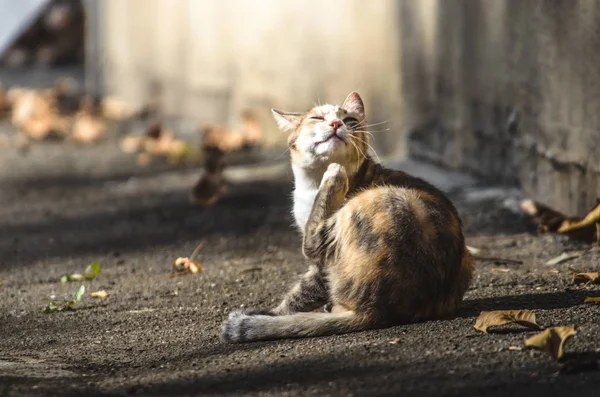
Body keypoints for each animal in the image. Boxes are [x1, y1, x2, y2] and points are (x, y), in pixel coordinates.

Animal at [220, 91, 474, 342]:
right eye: (317, 118)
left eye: (349, 120)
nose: (336, 123)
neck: (311, 186)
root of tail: (379, 311)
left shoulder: (321, 263)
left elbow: (302, 290)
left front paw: (271, 314)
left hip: (382, 201)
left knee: (312, 241)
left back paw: (334, 178)